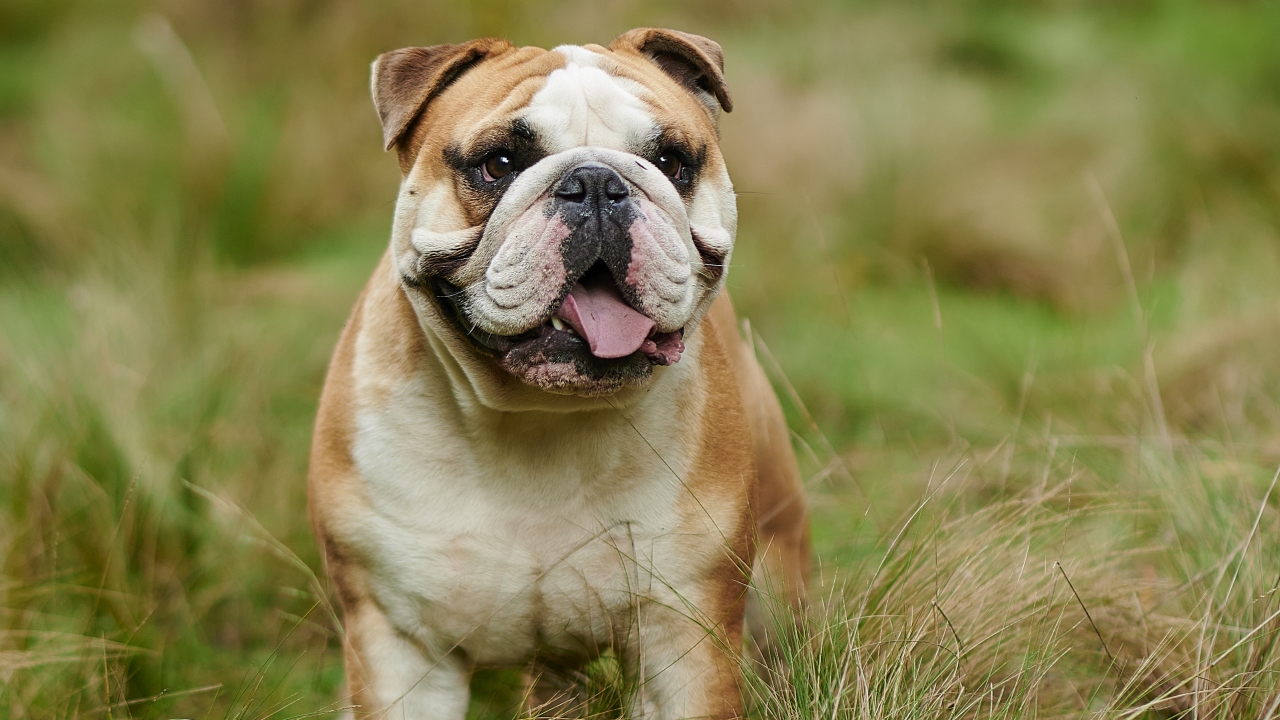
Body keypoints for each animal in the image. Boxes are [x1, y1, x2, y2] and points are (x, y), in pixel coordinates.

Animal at [307, 26, 808, 712]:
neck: (539, 415)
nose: (596, 183)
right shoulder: (400, 644)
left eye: (672, 162)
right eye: (499, 164)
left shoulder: (683, 639)